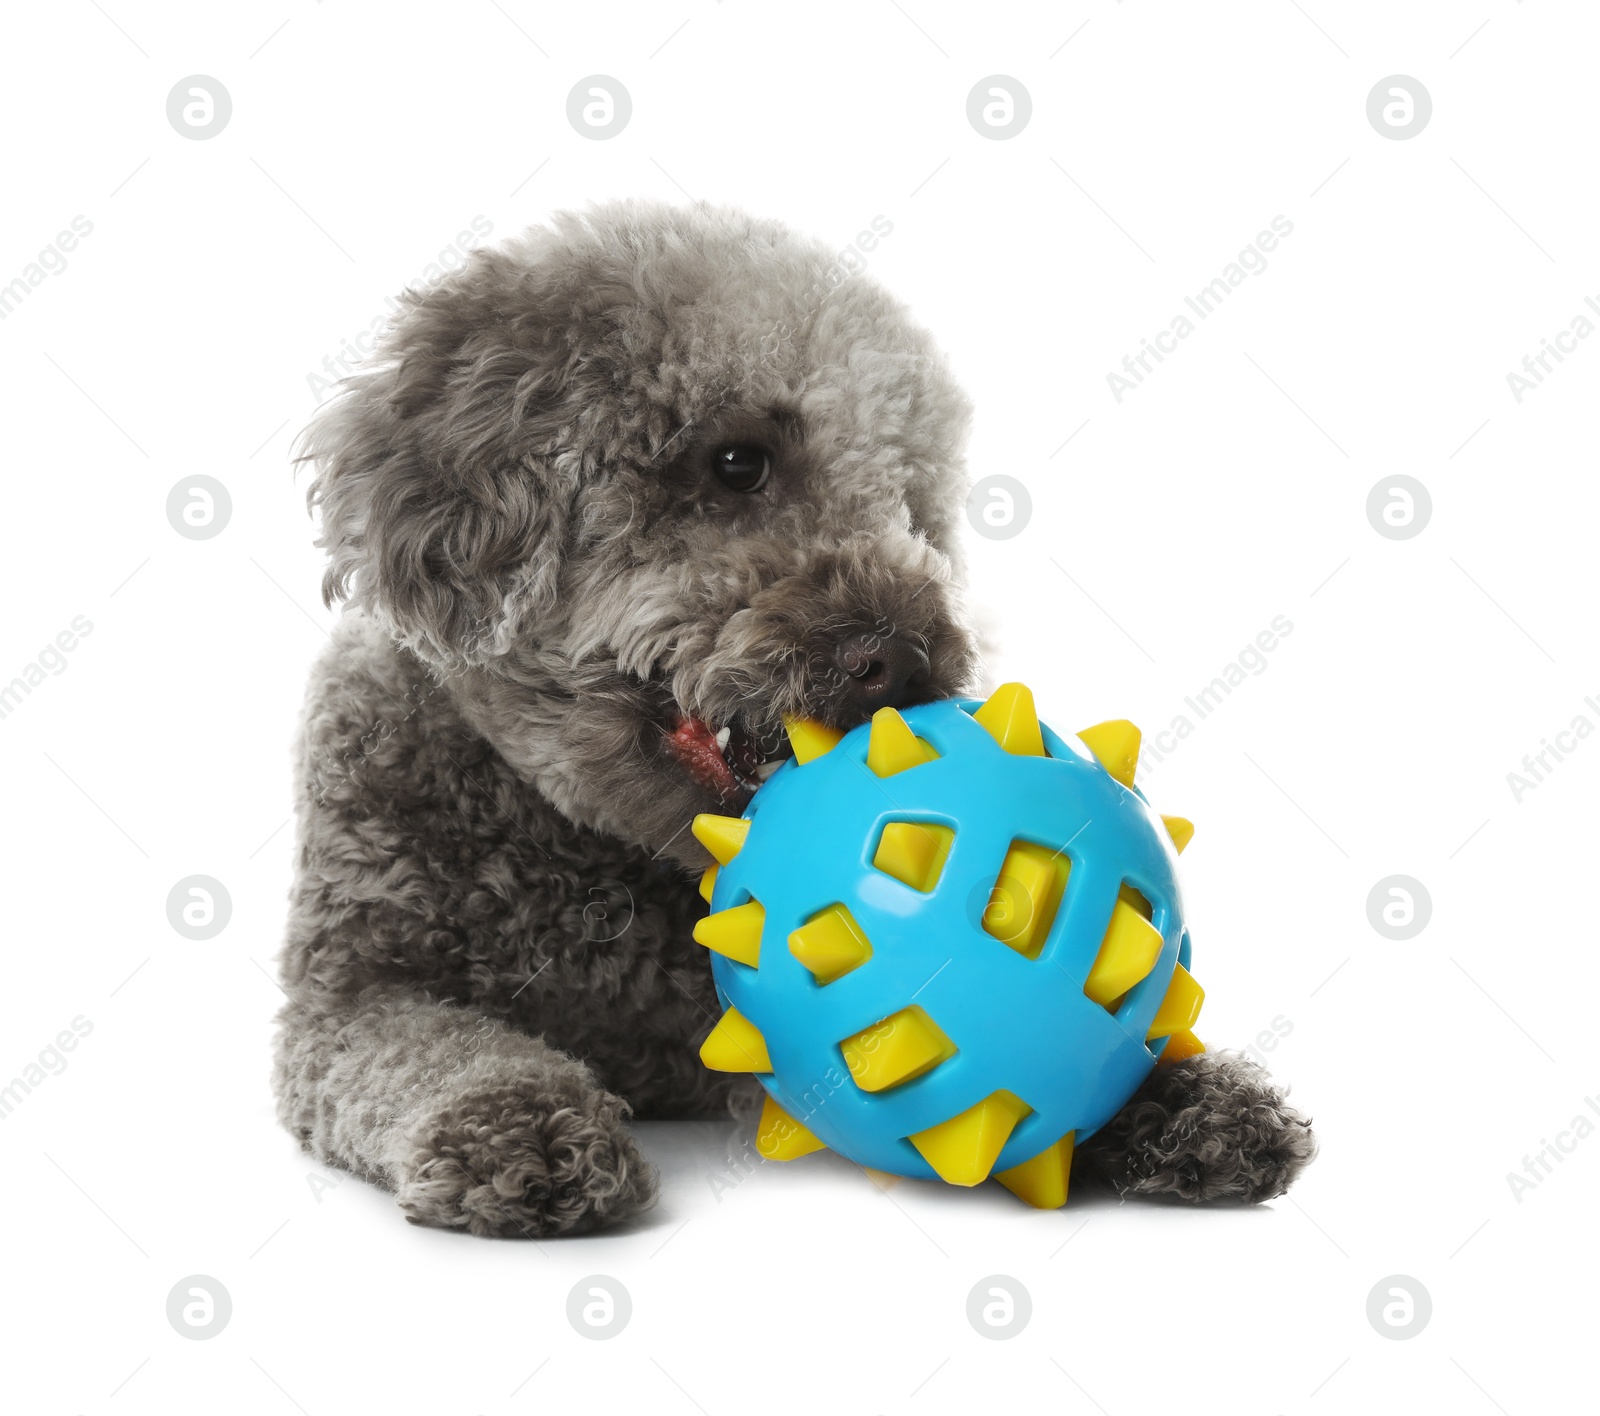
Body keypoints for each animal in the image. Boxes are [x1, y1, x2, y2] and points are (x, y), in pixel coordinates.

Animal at [272, 201, 1312, 1235]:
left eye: (912, 510)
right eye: (738, 462)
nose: (907, 660)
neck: (594, 863)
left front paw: (1165, 1097)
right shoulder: (346, 998)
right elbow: (436, 1052)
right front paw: (522, 1123)